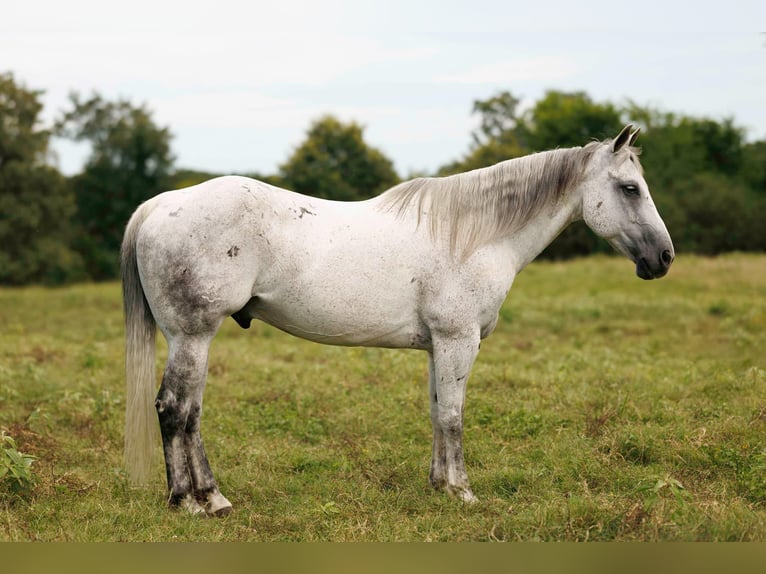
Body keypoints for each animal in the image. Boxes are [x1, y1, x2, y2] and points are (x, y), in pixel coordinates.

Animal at [122, 124, 674, 516]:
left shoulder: (439, 347)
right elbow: (453, 417)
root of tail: (161, 205)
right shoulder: (458, 341)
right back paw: (190, 502)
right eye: (630, 188)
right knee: (175, 409)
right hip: (193, 337)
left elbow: (436, 413)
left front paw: (438, 486)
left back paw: (210, 499)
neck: (472, 236)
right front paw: (462, 492)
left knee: (190, 413)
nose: (663, 258)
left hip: (192, 340)